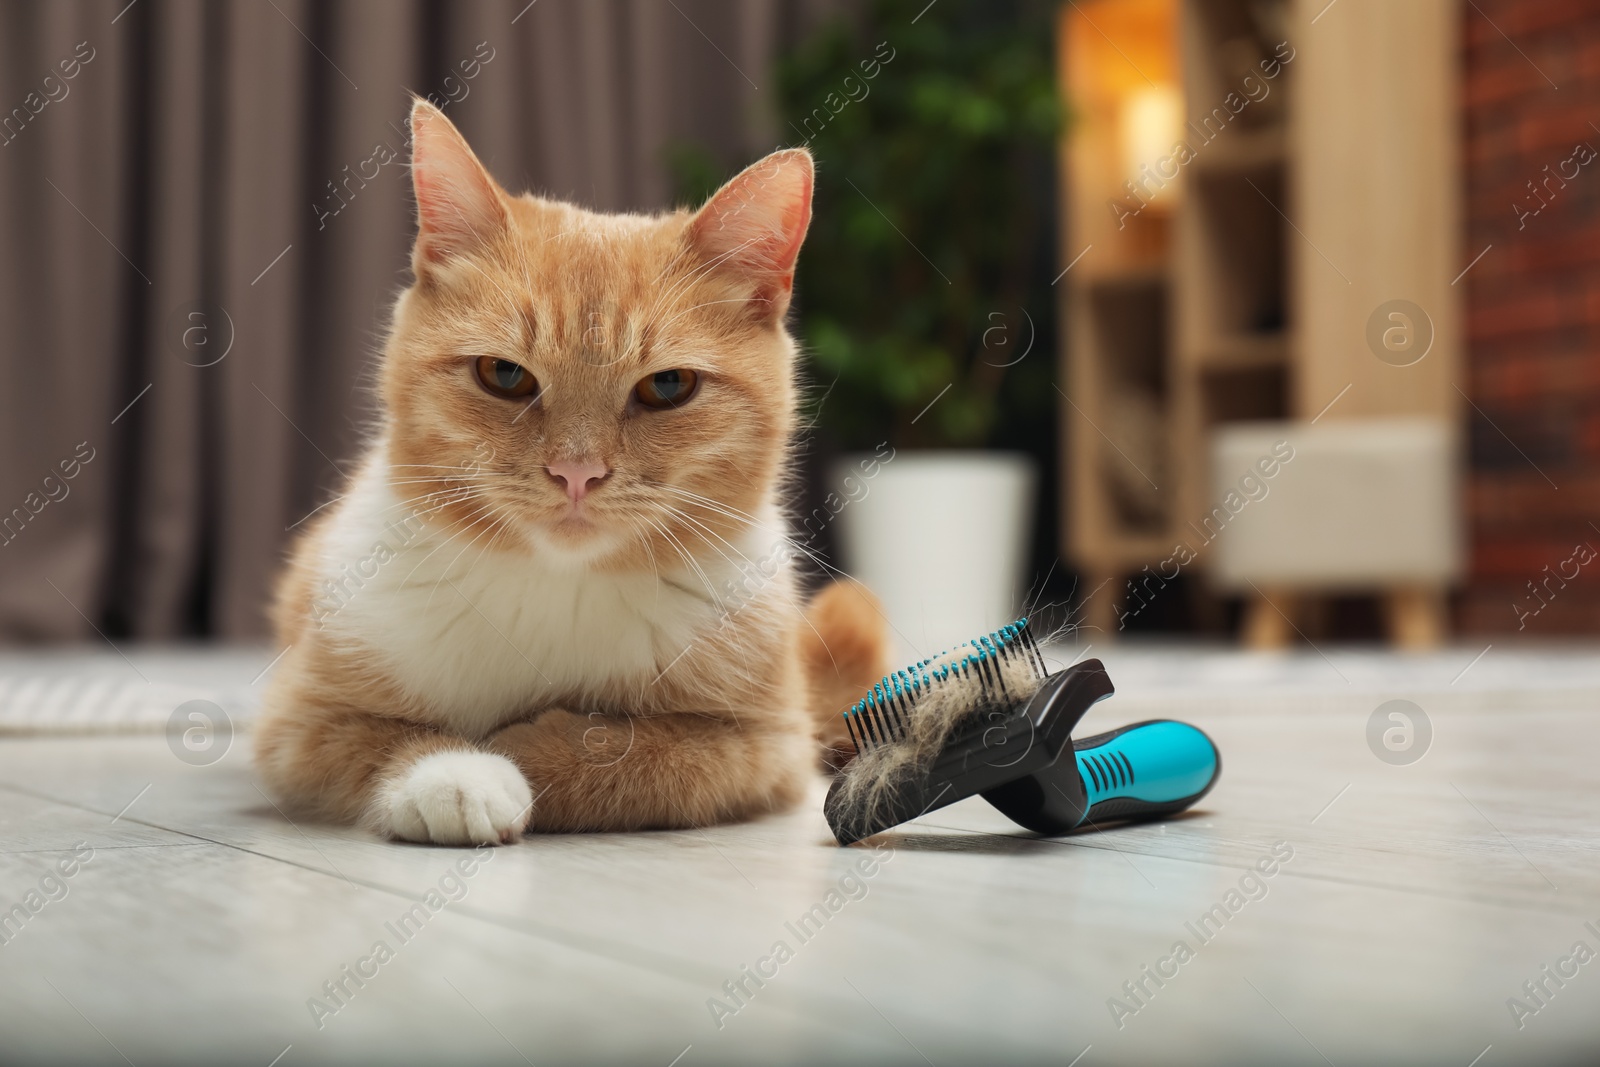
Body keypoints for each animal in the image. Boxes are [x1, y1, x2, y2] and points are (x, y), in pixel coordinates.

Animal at [256, 102, 896, 851]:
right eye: (503, 374)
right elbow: (383, 737)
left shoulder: (767, 746)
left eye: (669, 386)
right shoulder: (296, 720)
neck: (556, 587)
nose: (576, 473)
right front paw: (456, 772)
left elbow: (638, 753)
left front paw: (519, 751)